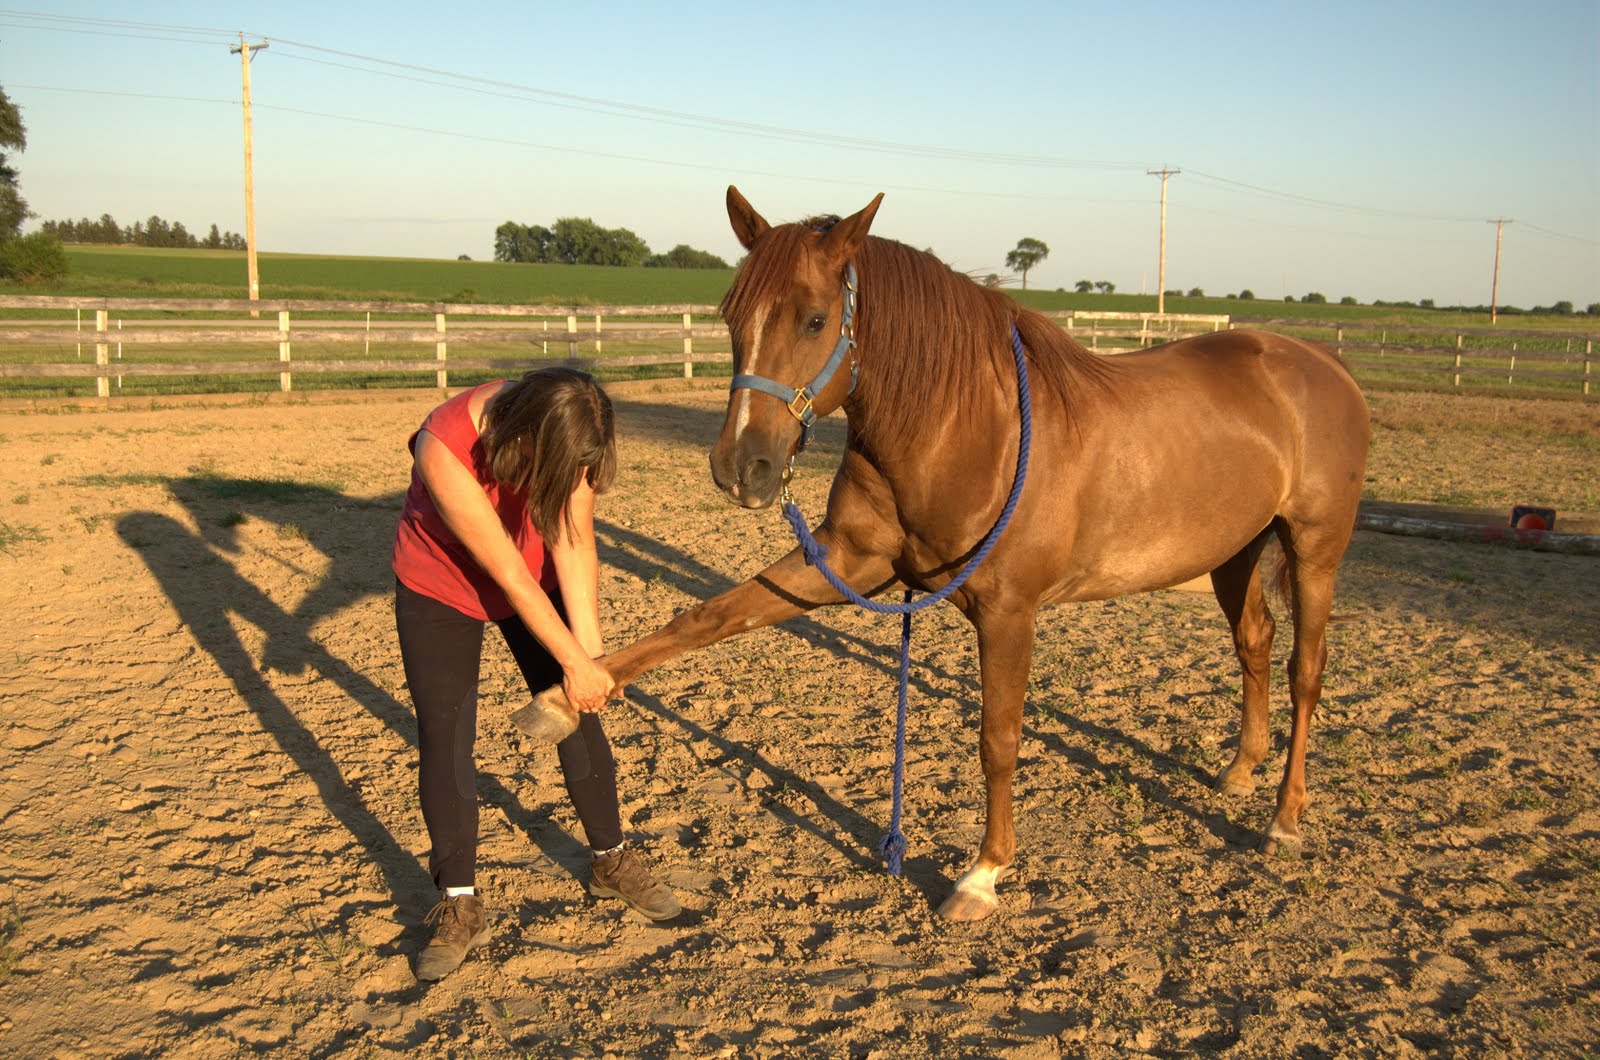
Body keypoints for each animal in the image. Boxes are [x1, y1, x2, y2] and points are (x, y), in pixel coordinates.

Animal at [534, 185, 1371, 921]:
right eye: (732, 315)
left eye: (813, 319)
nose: (743, 468)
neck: (965, 427)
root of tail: (1322, 364)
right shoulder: (848, 563)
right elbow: (708, 617)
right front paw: (564, 698)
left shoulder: (1007, 612)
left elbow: (997, 739)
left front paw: (983, 876)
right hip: (1234, 551)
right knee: (1254, 642)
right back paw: (1239, 772)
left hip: (1314, 549)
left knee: (1305, 672)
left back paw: (1284, 819)